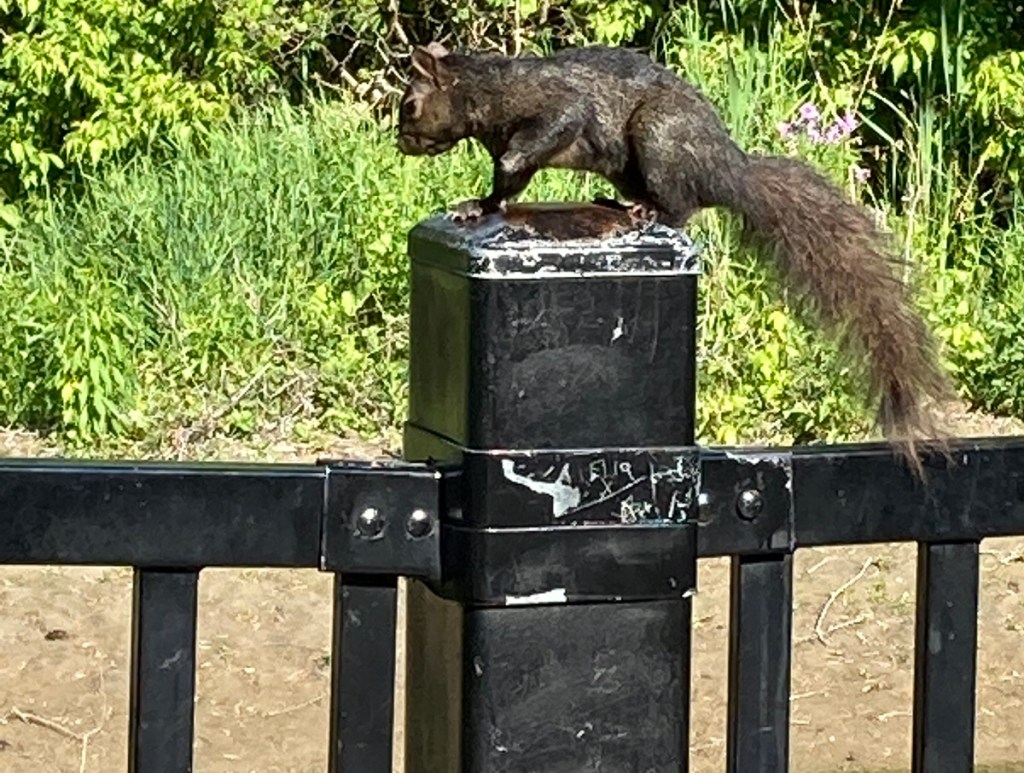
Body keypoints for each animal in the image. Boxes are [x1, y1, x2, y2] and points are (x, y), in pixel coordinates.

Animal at [396, 41, 953, 475]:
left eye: (410, 106)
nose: (400, 142)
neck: (487, 94)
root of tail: (728, 171)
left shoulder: (554, 105)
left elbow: (548, 130)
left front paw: (503, 168)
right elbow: (504, 189)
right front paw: (478, 206)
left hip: (658, 137)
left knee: (683, 207)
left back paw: (648, 211)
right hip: (632, 165)